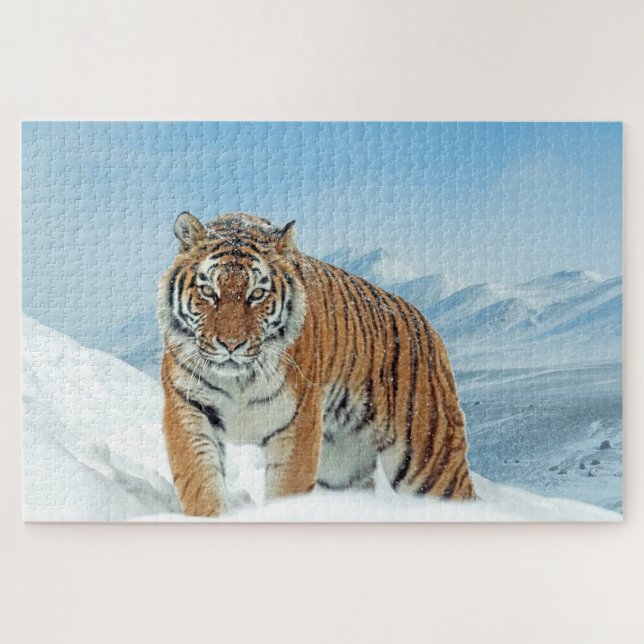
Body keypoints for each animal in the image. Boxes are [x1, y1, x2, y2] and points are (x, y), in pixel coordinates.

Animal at [157, 211, 475, 516]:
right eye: (209, 292)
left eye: (257, 294)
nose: (231, 344)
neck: (238, 379)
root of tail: (430, 327)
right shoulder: (188, 407)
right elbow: (200, 482)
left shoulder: (297, 422)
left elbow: (287, 490)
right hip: (343, 466)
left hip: (430, 459)